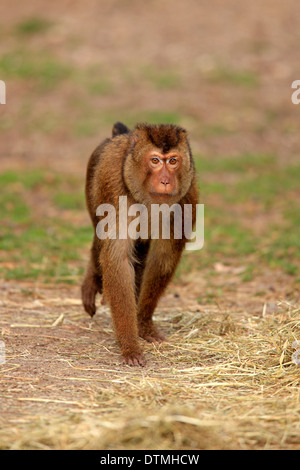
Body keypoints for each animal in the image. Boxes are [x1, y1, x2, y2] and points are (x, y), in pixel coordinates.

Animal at [82, 123, 199, 366]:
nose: (165, 181)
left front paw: (143, 323)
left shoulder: (187, 195)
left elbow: (164, 256)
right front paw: (130, 345)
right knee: (100, 240)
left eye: (172, 161)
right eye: (155, 160)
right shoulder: (116, 191)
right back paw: (92, 279)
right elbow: (118, 259)